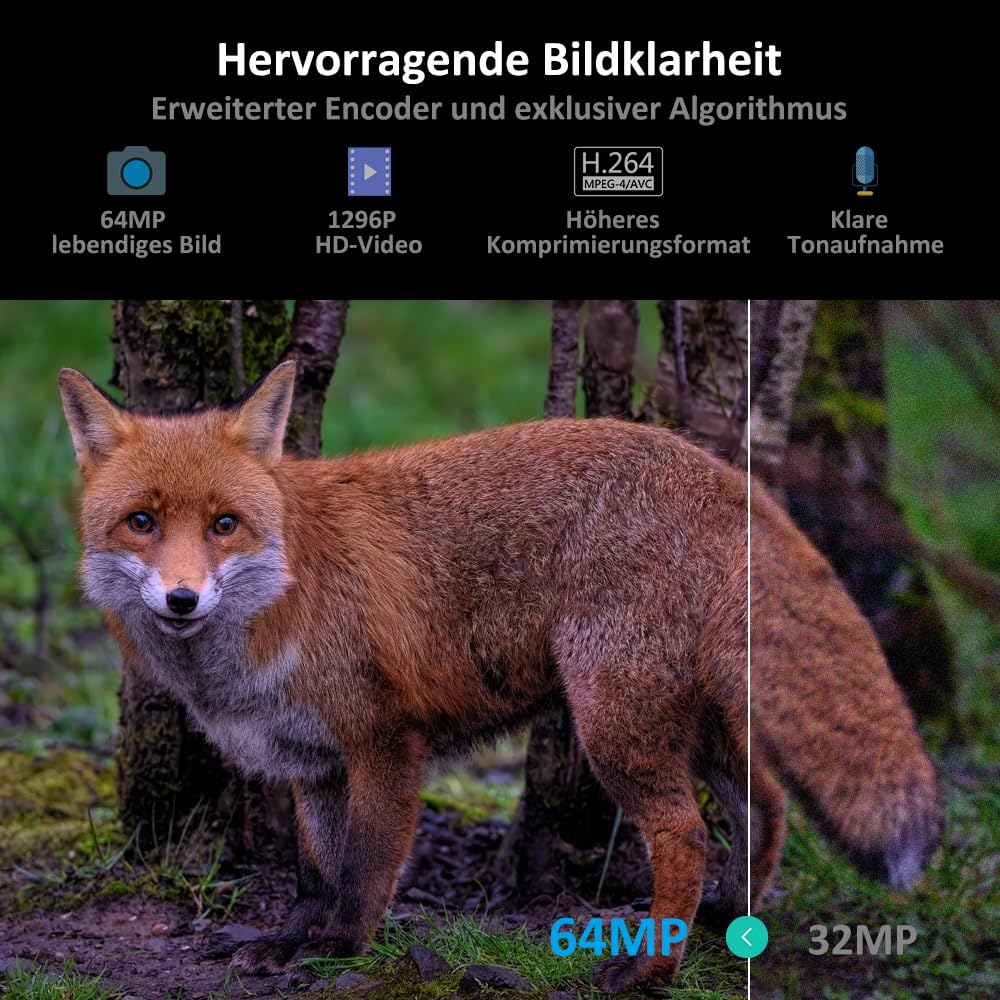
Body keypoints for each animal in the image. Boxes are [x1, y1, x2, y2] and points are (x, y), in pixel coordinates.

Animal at [59, 361, 940, 993]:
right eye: (142, 522)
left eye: (224, 525)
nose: (181, 598)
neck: (284, 594)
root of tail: (716, 468)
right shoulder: (311, 761)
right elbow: (314, 871)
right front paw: (287, 942)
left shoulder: (386, 742)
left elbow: (365, 871)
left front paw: (338, 952)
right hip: (696, 719)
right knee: (769, 804)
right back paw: (730, 923)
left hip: (613, 723)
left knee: (685, 832)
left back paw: (649, 968)